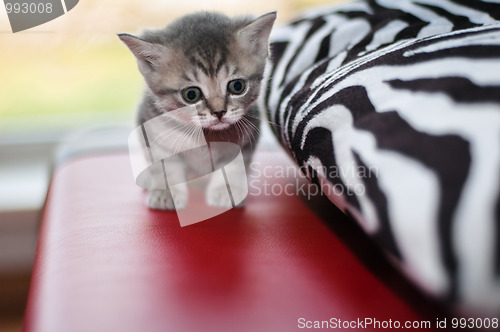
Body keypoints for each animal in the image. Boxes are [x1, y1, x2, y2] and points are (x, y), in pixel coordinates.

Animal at [120, 11, 278, 210]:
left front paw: (227, 191)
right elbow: (165, 165)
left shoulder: (248, 133)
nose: (219, 112)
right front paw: (167, 193)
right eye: (191, 94)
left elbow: (233, 166)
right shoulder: (152, 129)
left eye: (237, 86)